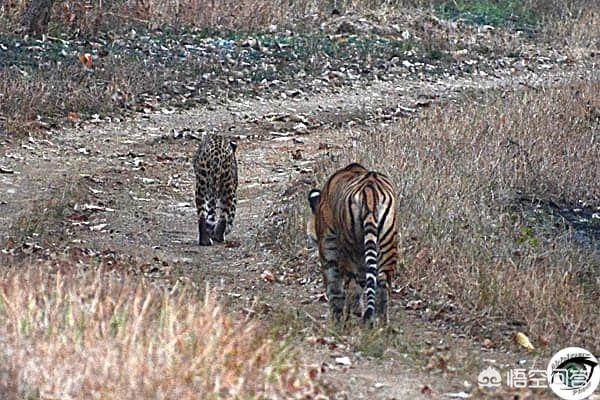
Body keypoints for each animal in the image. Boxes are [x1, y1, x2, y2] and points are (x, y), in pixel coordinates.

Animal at [310, 163, 398, 328]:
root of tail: (370, 190)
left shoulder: (327, 248)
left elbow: (334, 288)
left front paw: (335, 321)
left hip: (350, 251)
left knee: (352, 288)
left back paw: (348, 321)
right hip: (388, 243)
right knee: (382, 284)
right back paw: (381, 325)